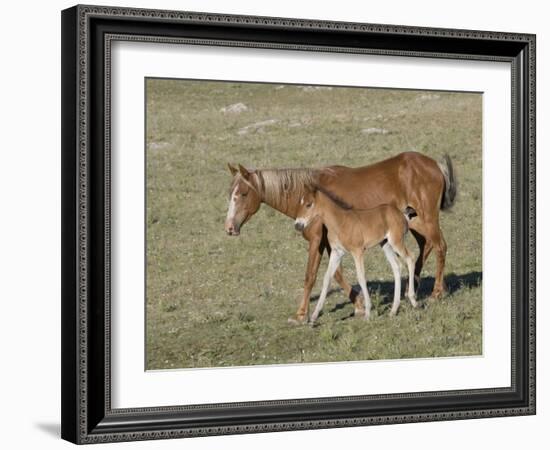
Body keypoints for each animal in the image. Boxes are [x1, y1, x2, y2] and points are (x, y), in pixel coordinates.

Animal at [296, 187, 416, 324]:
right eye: (300, 202)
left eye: (308, 204)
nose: (298, 225)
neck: (340, 222)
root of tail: (401, 213)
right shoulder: (337, 252)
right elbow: (327, 278)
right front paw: (314, 317)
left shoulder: (357, 251)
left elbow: (361, 277)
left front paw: (368, 313)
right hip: (386, 244)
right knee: (397, 266)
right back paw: (393, 310)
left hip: (396, 241)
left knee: (410, 258)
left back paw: (413, 301)